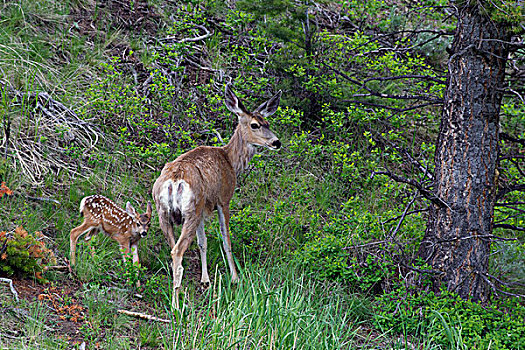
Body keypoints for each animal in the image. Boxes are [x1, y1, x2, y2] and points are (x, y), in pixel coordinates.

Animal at [152, 83, 280, 308]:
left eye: (268, 122)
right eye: (255, 125)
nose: (276, 142)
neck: (230, 160)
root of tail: (175, 181)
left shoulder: (203, 208)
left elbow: (202, 243)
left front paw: (205, 280)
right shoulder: (223, 198)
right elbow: (226, 238)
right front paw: (235, 277)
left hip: (167, 213)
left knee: (173, 248)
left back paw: (179, 292)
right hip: (190, 211)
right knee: (177, 250)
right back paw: (176, 305)